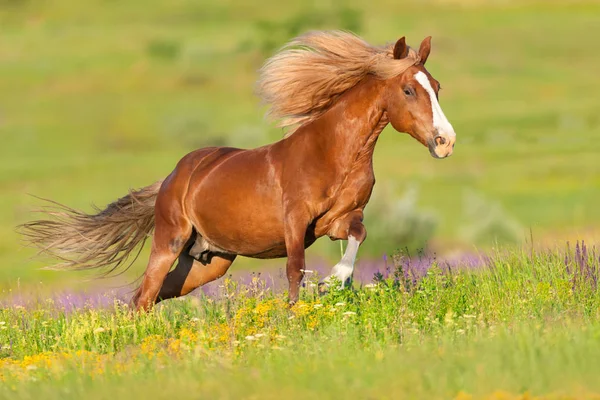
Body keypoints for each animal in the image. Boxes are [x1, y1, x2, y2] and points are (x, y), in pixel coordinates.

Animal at [19, 32, 454, 312]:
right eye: (409, 90)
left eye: (436, 86)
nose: (445, 141)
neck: (332, 153)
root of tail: (173, 177)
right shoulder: (295, 221)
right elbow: (294, 270)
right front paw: (296, 314)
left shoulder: (338, 219)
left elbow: (358, 235)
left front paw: (335, 280)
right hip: (170, 241)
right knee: (145, 293)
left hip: (211, 259)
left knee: (155, 294)